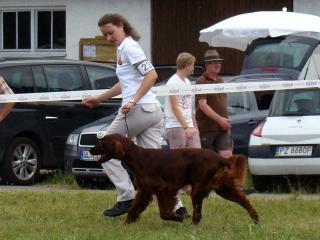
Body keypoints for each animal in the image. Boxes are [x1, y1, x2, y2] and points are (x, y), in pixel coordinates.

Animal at [89, 134, 258, 224]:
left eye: (102, 142)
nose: (90, 149)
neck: (136, 157)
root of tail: (218, 157)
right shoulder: (144, 191)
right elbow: (133, 210)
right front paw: (126, 225)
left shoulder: (164, 189)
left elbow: (164, 213)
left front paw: (177, 218)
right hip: (222, 188)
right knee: (244, 201)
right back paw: (255, 219)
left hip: (198, 188)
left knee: (198, 214)